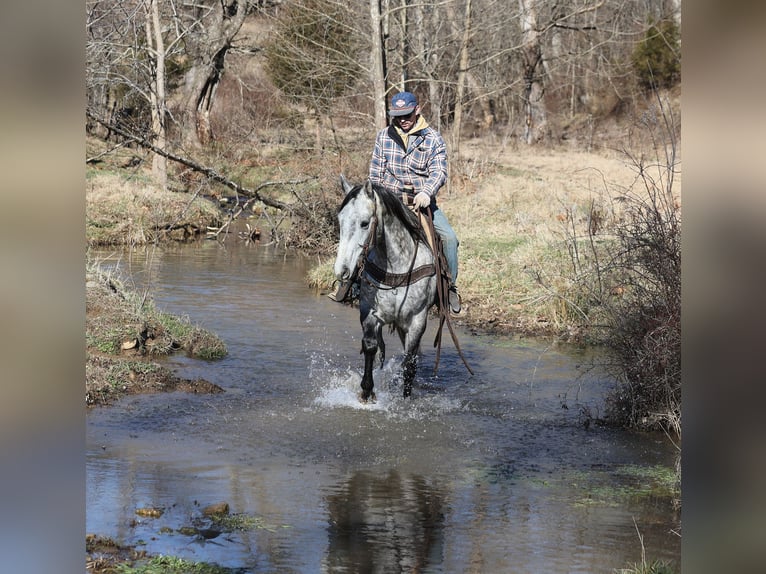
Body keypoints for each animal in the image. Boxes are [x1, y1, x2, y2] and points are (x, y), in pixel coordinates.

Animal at [333, 176, 439, 402]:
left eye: (365, 223)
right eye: (339, 221)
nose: (342, 270)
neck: (396, 265)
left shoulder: (418, 319)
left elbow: (409, 363)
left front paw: (405, 399)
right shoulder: (369, 311)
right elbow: (370, 346)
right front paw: (366, 392)